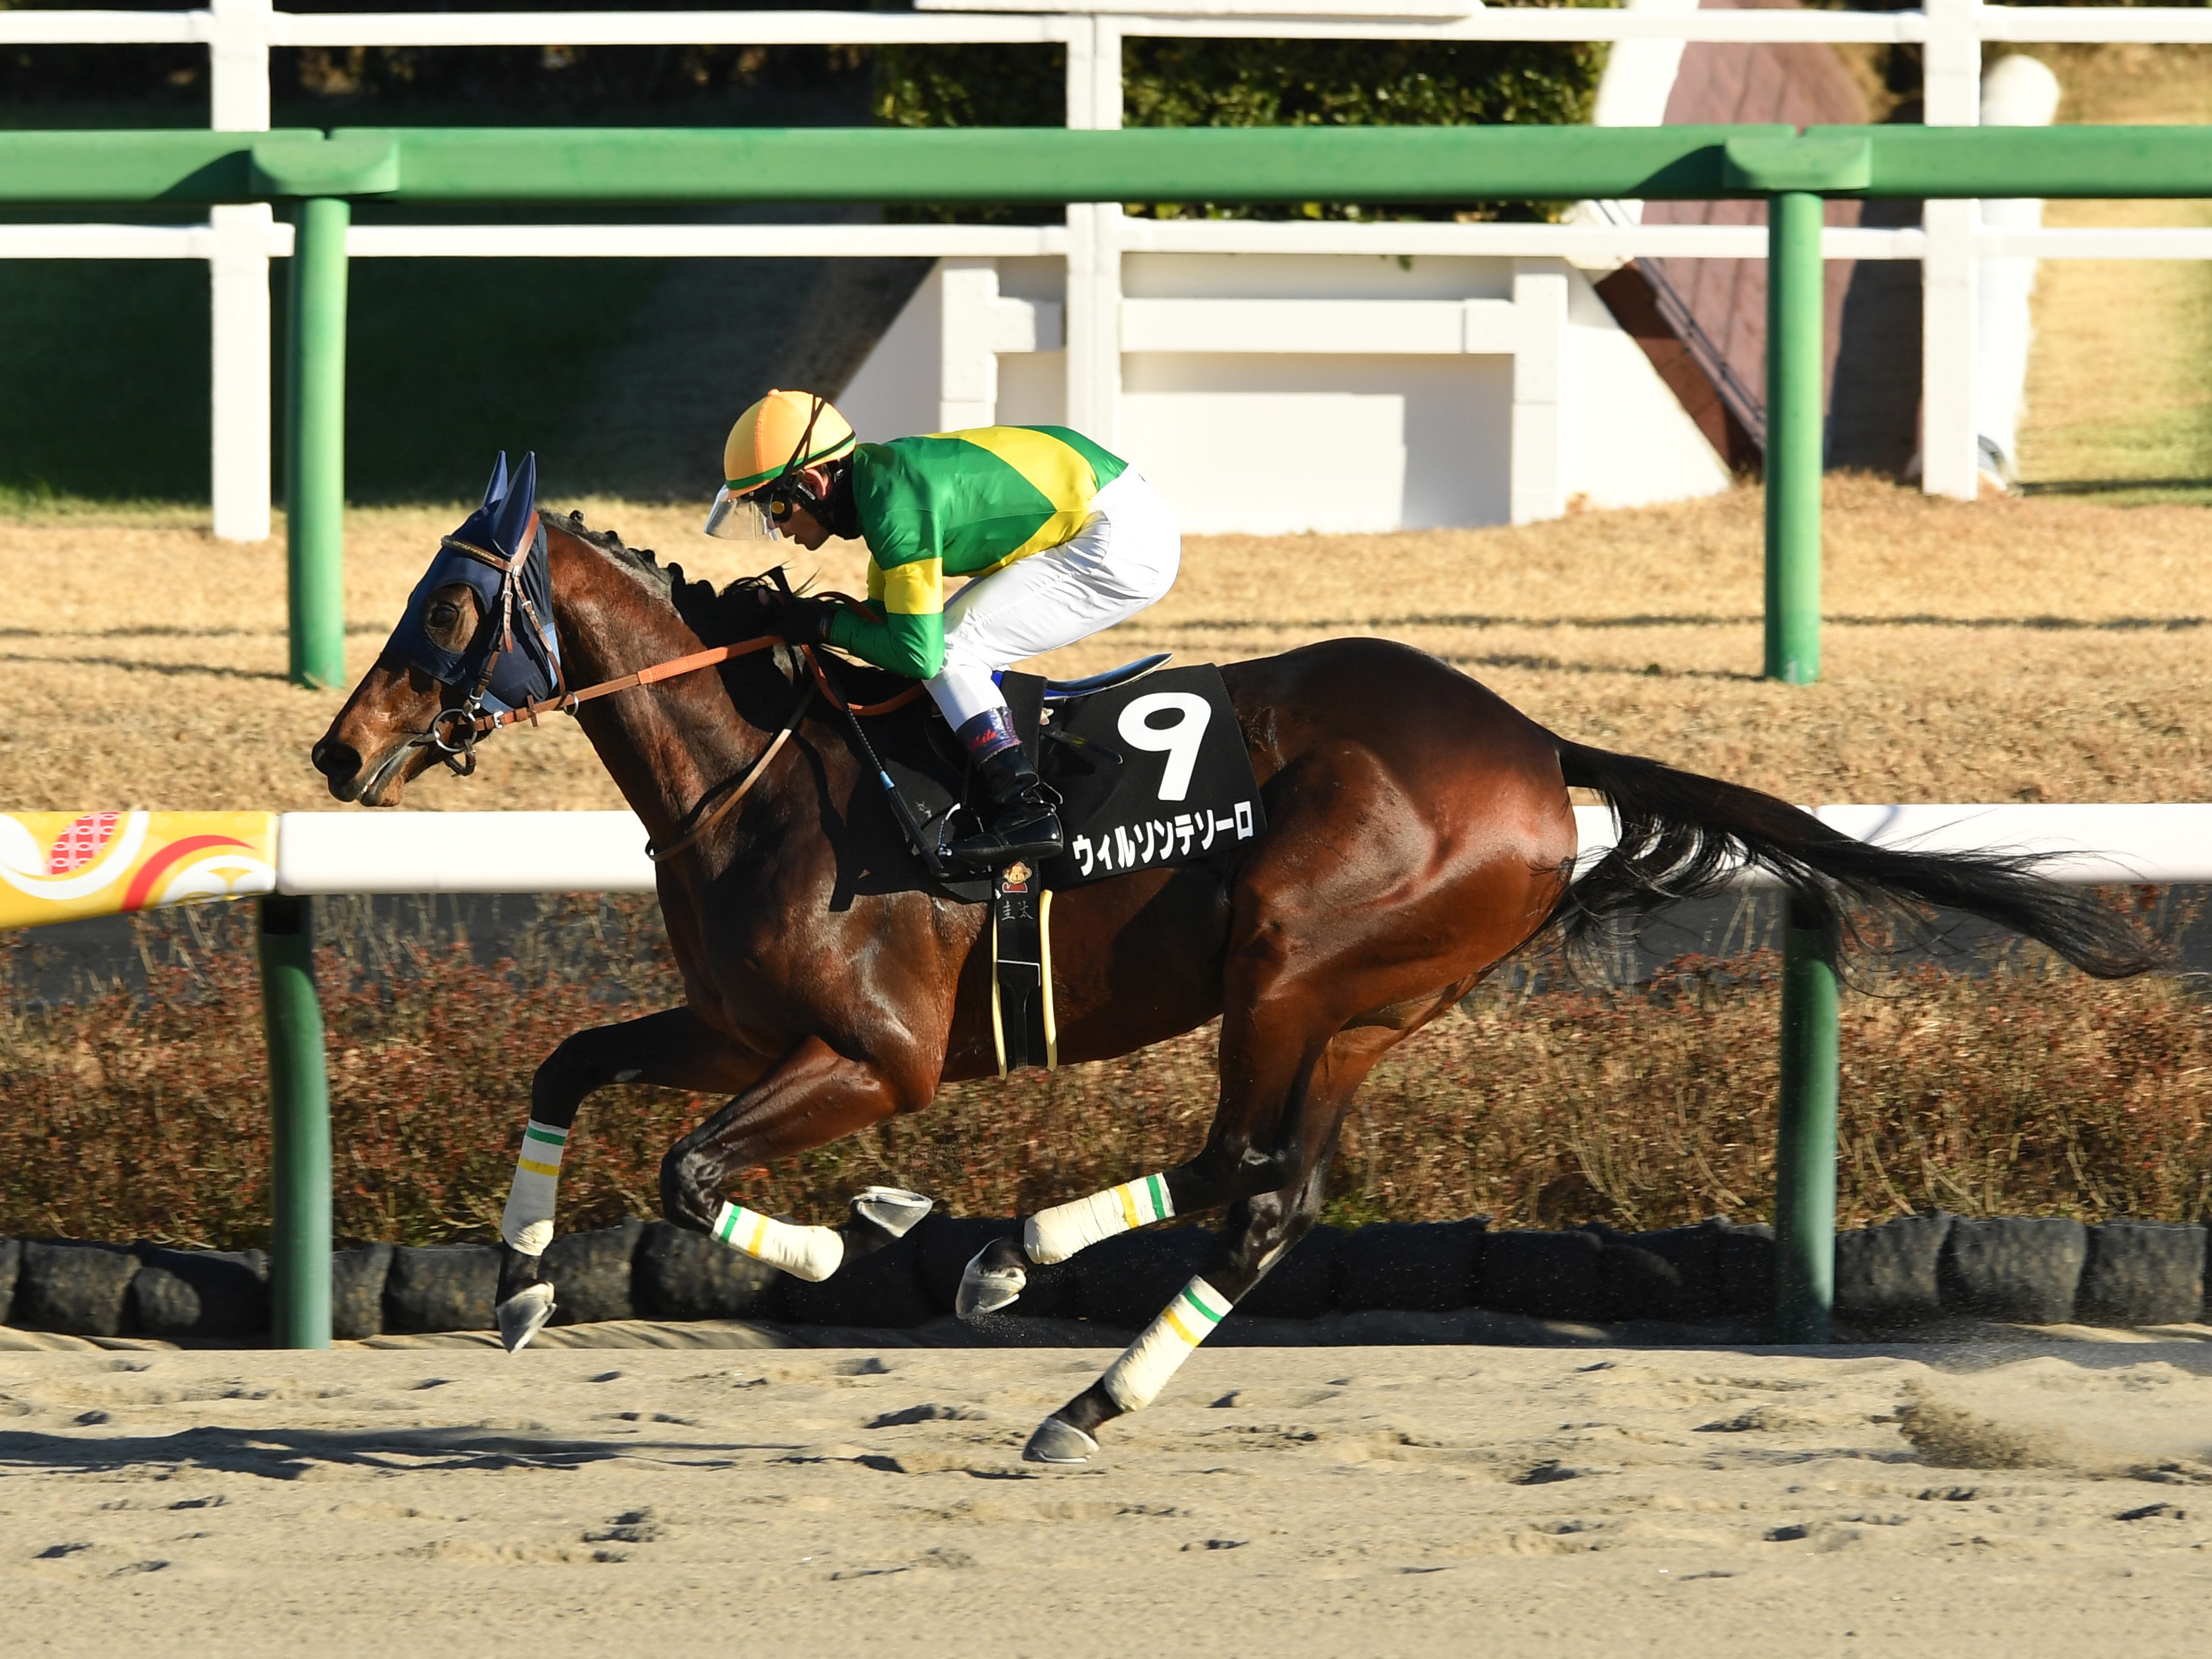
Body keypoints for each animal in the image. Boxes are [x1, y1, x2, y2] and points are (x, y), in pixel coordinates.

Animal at [316, 499, 2159, 1460]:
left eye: (445, 612)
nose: (336, 752)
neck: (757, 762)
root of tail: (1533, 740)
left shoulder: (875, 1055)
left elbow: (697, 1177)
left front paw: (851, 1238)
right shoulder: (738, 1024)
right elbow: (565, 1066)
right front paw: (522, 1284)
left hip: (1293, 954)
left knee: (1236, 1165)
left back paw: (1003, 1263)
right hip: (1370, 1003)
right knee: (1270, 1196)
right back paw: (1072, 1363)